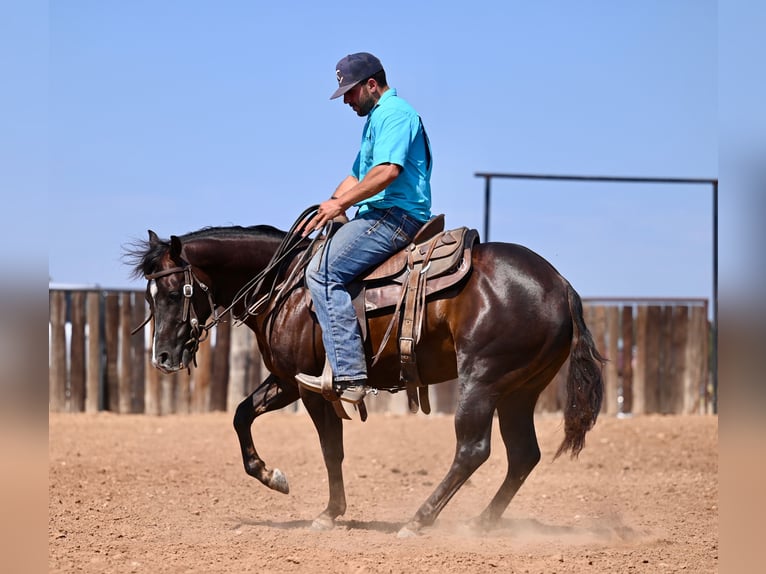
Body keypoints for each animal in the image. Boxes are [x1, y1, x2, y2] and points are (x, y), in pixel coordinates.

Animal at [126, 217, 608, 540]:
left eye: (175, 292)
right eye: (149, 296)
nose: (162, 357)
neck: (287, 286)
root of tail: (561, 285)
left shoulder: (312, 389)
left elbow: (330, 449)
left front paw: (329, 512)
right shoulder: (287, 380)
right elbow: (242, 415)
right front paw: (272, 476)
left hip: (482, 381)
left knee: (473, 450)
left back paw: (419, 520)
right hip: (518, 392)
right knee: (523, 455)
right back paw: (481, 522)